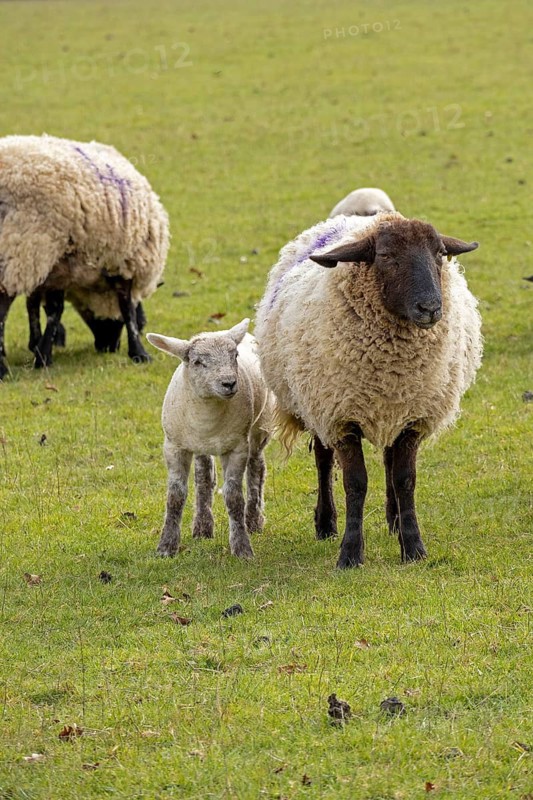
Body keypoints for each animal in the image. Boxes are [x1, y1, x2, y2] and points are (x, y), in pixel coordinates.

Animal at [0, 134, 169, 378]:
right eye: (143, 323)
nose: (109, 348)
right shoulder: (124, 261)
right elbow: (126, 307)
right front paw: (139, 353)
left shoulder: (58, 267)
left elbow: (48, 309)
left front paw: (42, 352)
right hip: (18, 250)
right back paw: (2, 369)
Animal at [147, 319, 274, 559]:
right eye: (198, 362)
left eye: (234, 355)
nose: (229, 383)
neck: (207, 417)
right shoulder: (174, 446)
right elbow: (175, 497)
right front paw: (166, 546)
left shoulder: (237, 449)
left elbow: (234, 497)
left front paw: (242, 547)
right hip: (200, 446)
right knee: (204, 477)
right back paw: (202, 526)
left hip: (260, 426)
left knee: (256, 468)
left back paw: (253, 520)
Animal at [255, 212, 482, 569]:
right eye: (386, 256)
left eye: (440, 253)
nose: (431, 308)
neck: (392, 368)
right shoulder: (341, 418)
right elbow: (355, 483)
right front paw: (350, 553)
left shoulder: (412, 416)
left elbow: (405, 479)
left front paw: (412, 546)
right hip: (316, 404)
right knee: (323, 461)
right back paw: (326, 523)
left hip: (391, 410)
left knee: (389, 462)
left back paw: (394, 521)